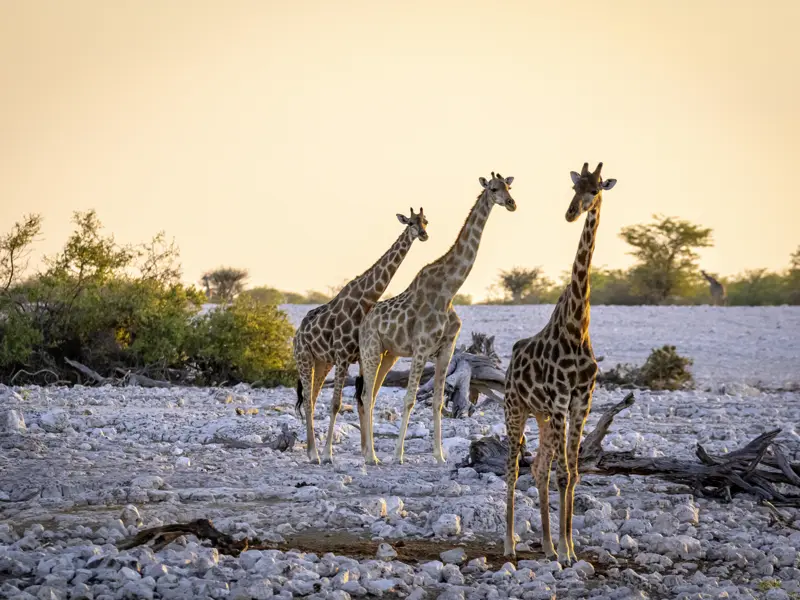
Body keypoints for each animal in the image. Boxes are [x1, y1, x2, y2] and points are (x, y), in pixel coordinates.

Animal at [294, 207, 432, 464]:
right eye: (410, 222)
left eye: (425, 221)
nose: (423, 235)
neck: (364, 301)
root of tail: (297, 334)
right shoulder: (342, 356)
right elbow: (337, 403)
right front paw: (329, 454)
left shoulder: (358, 356)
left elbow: (362, 401)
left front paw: (369, 453)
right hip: (304, 358)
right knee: (308, 400)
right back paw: (315, 454)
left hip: (322, 362)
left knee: (313, 398)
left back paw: (311, 451)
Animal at [358, 171, 520, 466]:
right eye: (493, 188)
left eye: (509, 187)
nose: (512, 203)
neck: (449, 290)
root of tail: (364, 321)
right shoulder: (422, 348)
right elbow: (410, 399)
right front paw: (398, 455)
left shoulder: (446, 349)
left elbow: (437, 401)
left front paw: (440, 455)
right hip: (371, 349)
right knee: (366, 395)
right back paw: (372, 457)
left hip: (389, 354)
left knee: (372, 395)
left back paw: (369, 453)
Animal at [500, 161, 620, 564]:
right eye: (574, 187)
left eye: (596, 189)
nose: (570, 213)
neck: (578, 325)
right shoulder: (560, 399)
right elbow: (564, 474)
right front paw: (566, 554)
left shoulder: (582, 400)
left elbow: (574, 472)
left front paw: (569, 548)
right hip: (516, 410)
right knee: (513, 469)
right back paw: (510, 544)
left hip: (542, 415)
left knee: (539, 467)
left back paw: (549, 545)